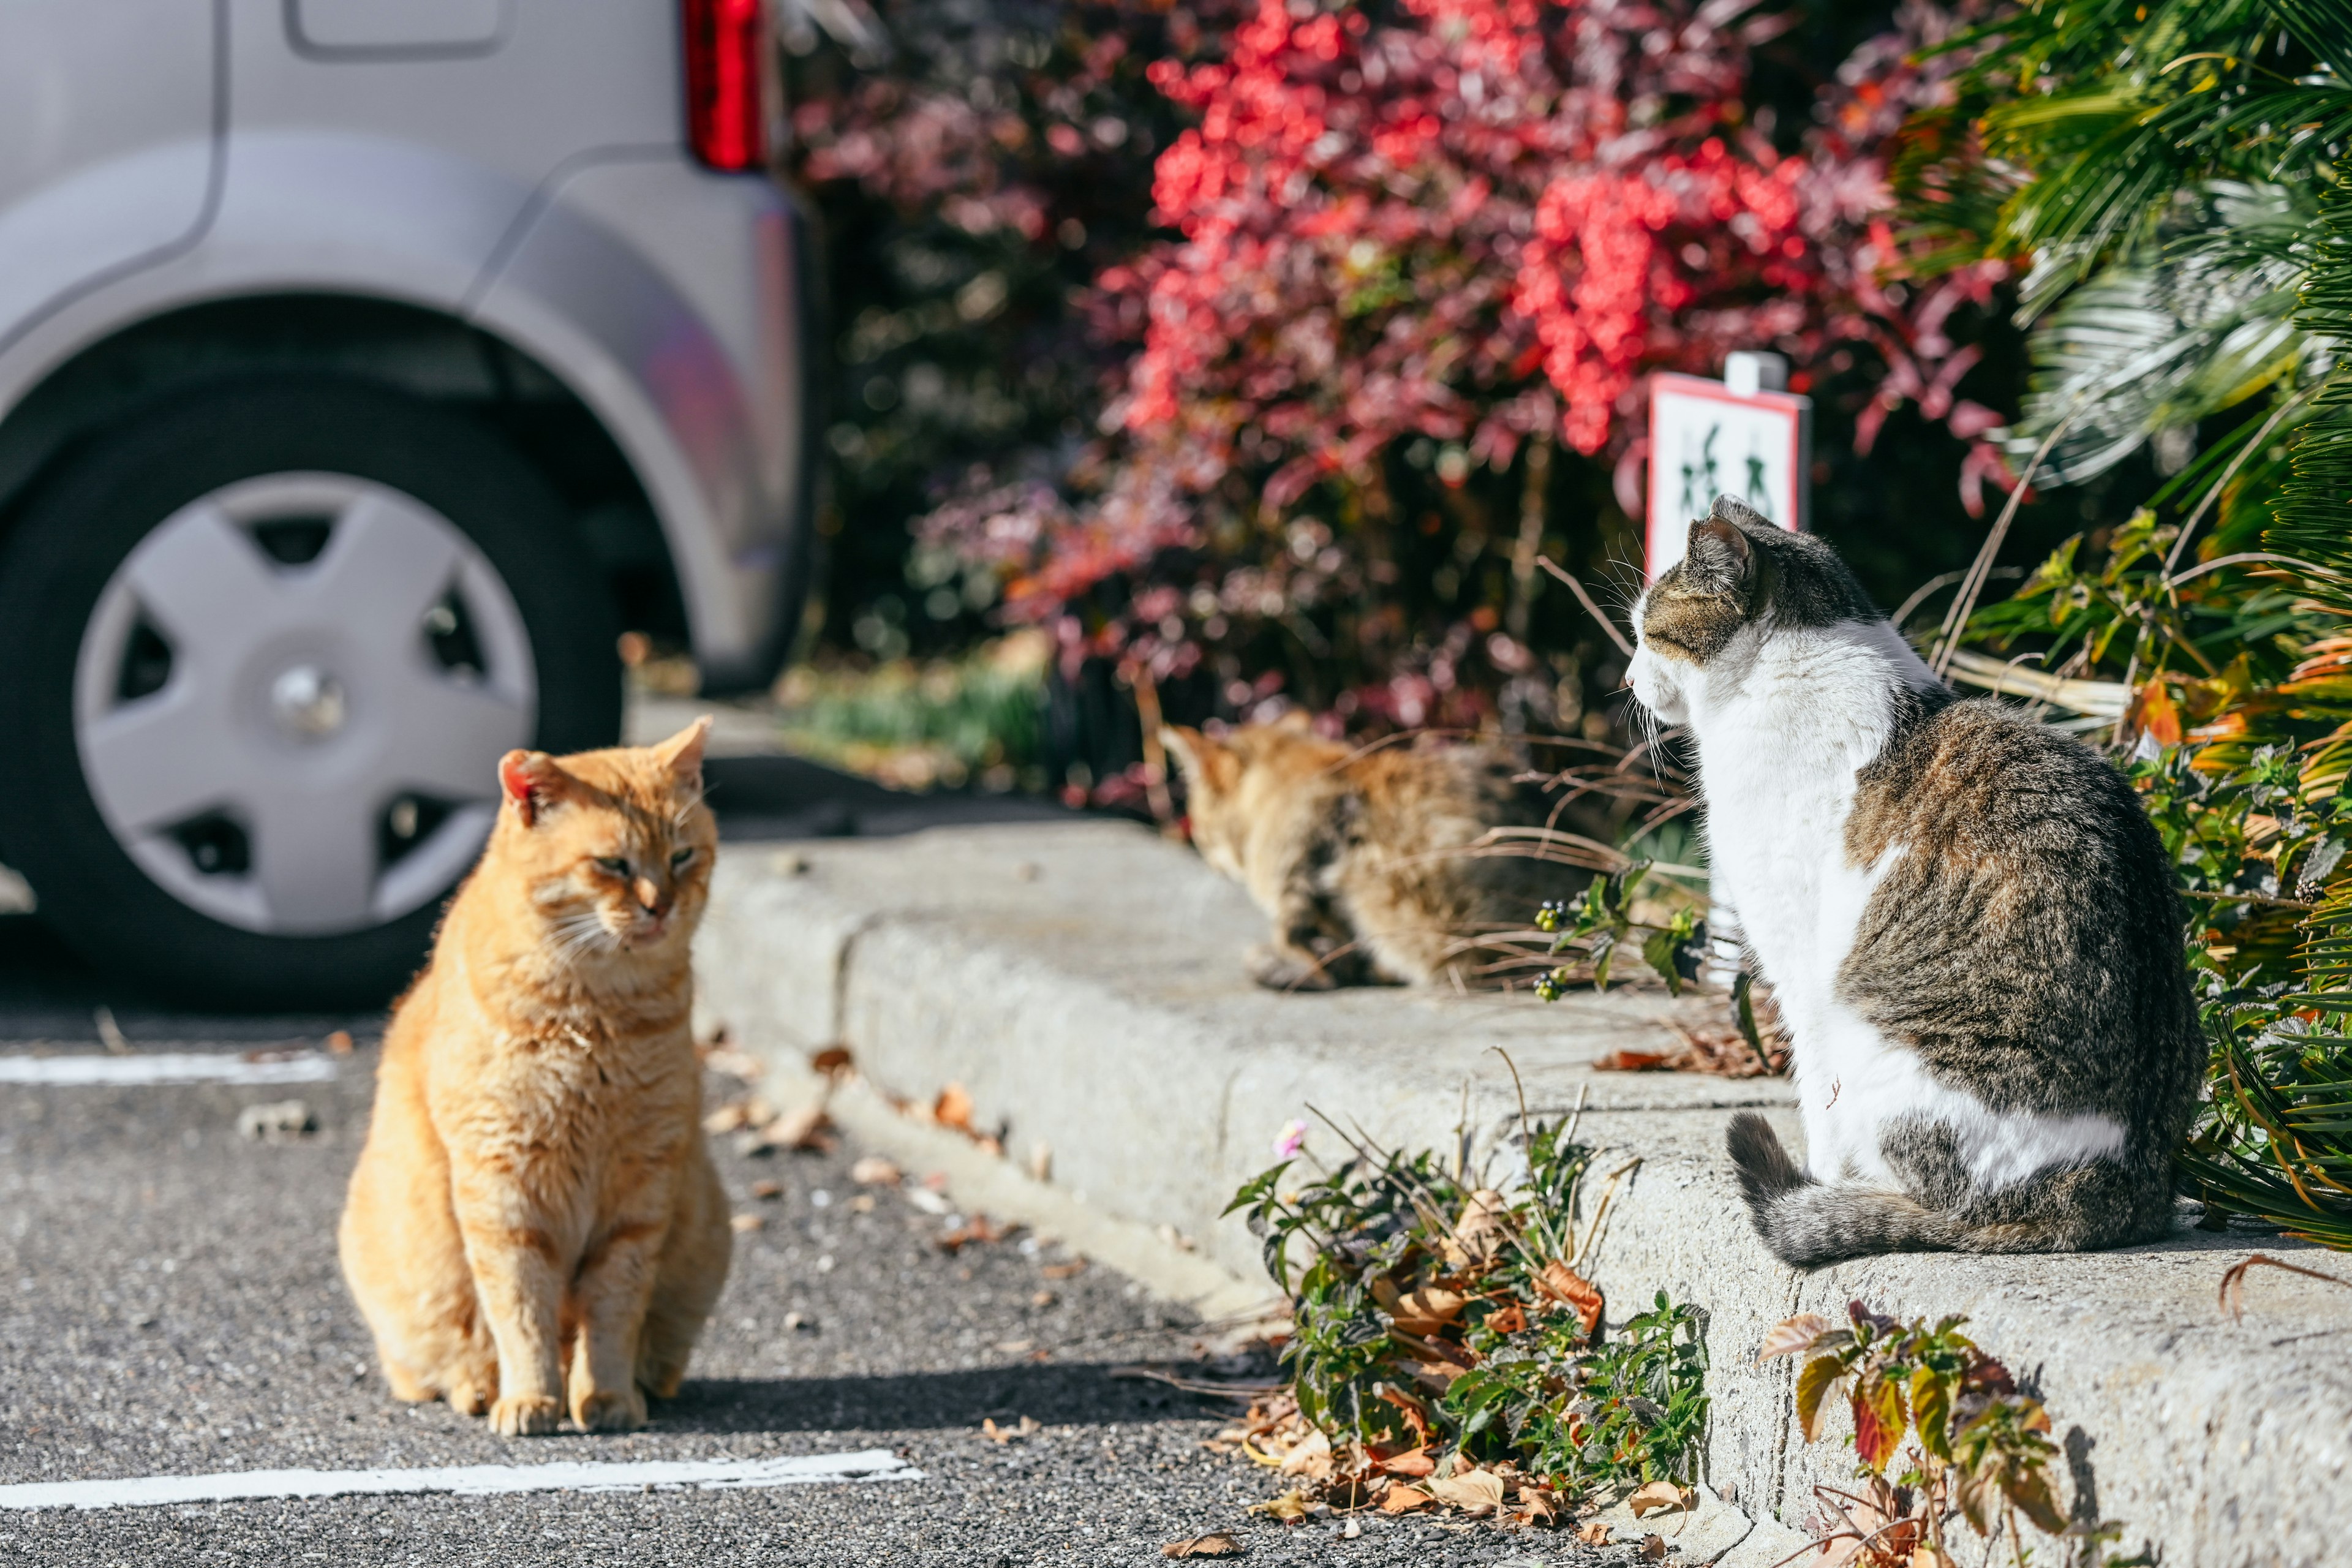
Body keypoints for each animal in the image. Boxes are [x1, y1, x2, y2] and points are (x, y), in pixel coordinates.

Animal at [338, 719, 724, 1438]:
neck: (597, 1016)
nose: (660, 906)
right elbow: (520, 1309)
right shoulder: (502, 1189)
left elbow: (612, 1311)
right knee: (431, 1364)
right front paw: (531, 1399)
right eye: (614, 864)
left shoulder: (641, 1189)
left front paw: (606, 1395)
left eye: (683, 856)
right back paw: (478, 1388)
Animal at [1637, 496, 2201, 1269]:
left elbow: (1814, 1097)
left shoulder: (1801, 970)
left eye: (1647, 631)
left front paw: (1820, 1184)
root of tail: (2117, 1193)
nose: (1628, 678)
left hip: (1871, 1038)